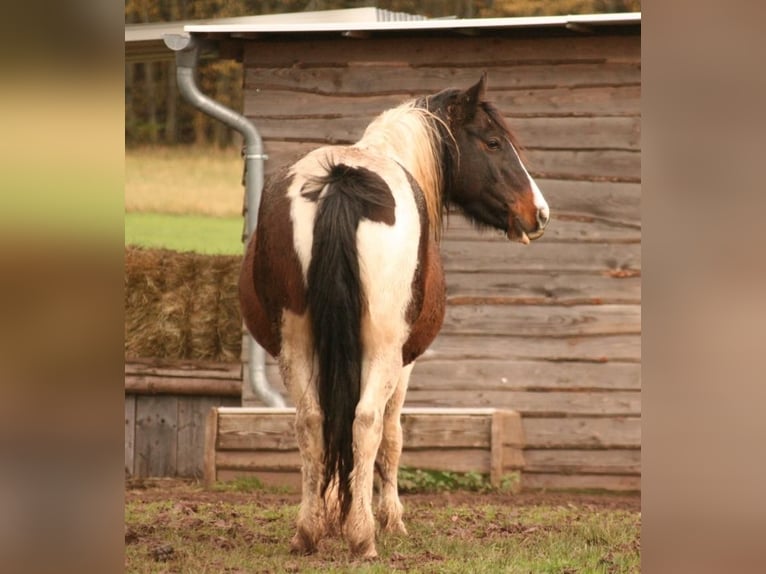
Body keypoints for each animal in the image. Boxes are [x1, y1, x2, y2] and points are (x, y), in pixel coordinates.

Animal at [238, 74, 549, 558]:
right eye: (494, 142)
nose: (538, 212)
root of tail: (342, 179)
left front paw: (334, 511)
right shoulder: (404, 362)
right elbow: (391, 436)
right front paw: (388, 518)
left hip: (298, 342)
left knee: (312, 420)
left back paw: (309, 531)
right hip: (383, 351)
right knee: (366, 422)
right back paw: (362, 536)